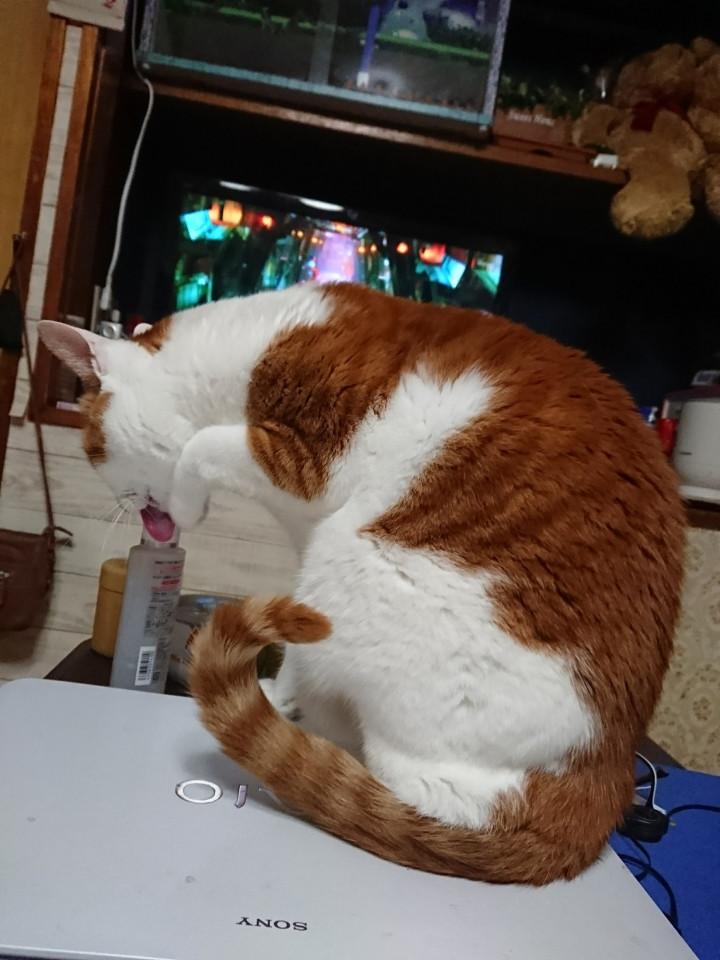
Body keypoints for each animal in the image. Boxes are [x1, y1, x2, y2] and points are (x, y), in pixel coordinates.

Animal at [38, 282, 685, 885]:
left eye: (94, 448)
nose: (126, 506)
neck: (253, 341)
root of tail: (605, 782)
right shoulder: (304, 534)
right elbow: (292, 648)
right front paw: (277, 692)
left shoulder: (310, 462)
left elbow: (201, 446)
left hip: (353, 561)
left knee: (421, 801)